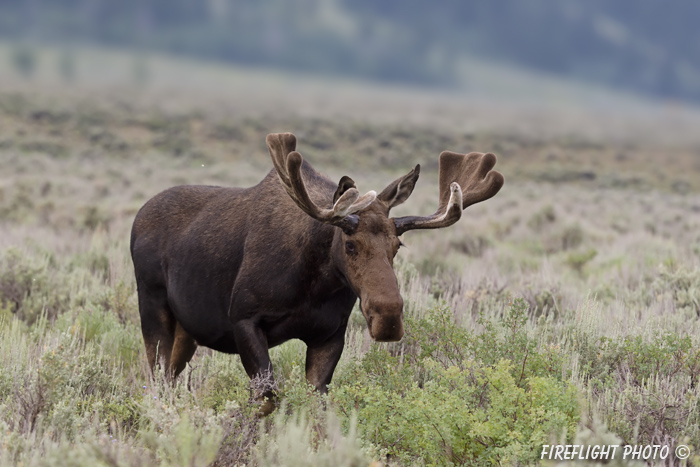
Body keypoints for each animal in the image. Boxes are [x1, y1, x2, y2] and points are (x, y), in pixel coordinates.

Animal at [131, 133, 504, 414]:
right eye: (350, 245)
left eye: (397, 245)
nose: (388, 318)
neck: (314, 284)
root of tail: (139, 216)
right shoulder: (244, 319)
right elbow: (266, 399)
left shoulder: (329, 336)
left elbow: (315, 405)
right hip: (153, 308)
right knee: (156, 377)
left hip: (187, 330)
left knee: (170, 376)